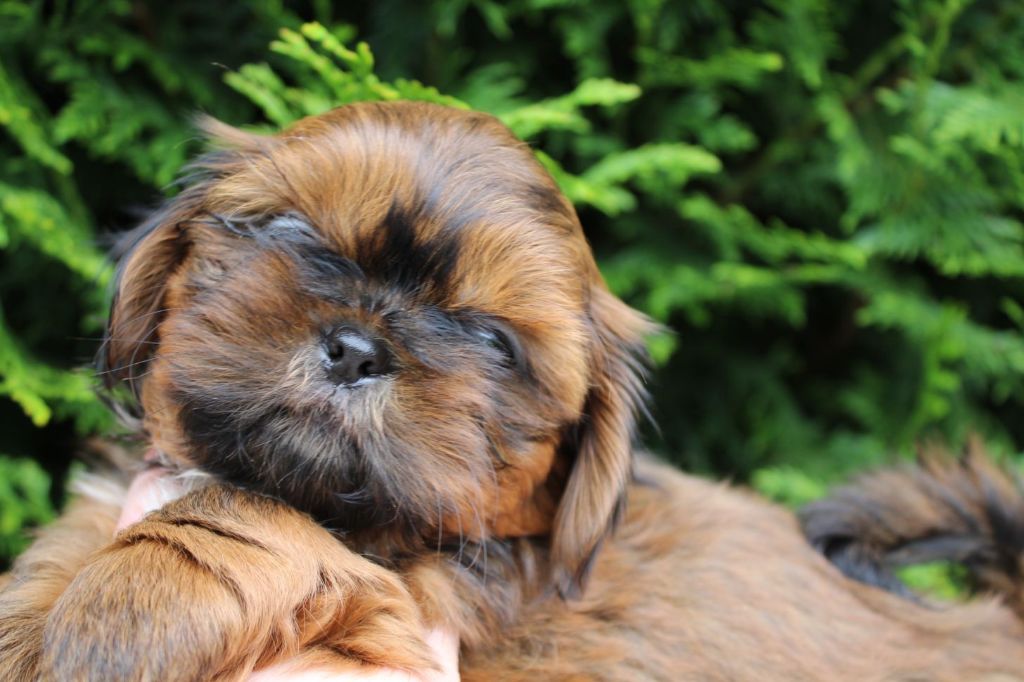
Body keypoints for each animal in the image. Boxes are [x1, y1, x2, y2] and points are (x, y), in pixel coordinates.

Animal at [1, 101, 1023, 681]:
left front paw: (125, 607)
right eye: (292, 232)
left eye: (493, 342)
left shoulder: (423, 590)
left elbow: (249, 518)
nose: (357, 349)